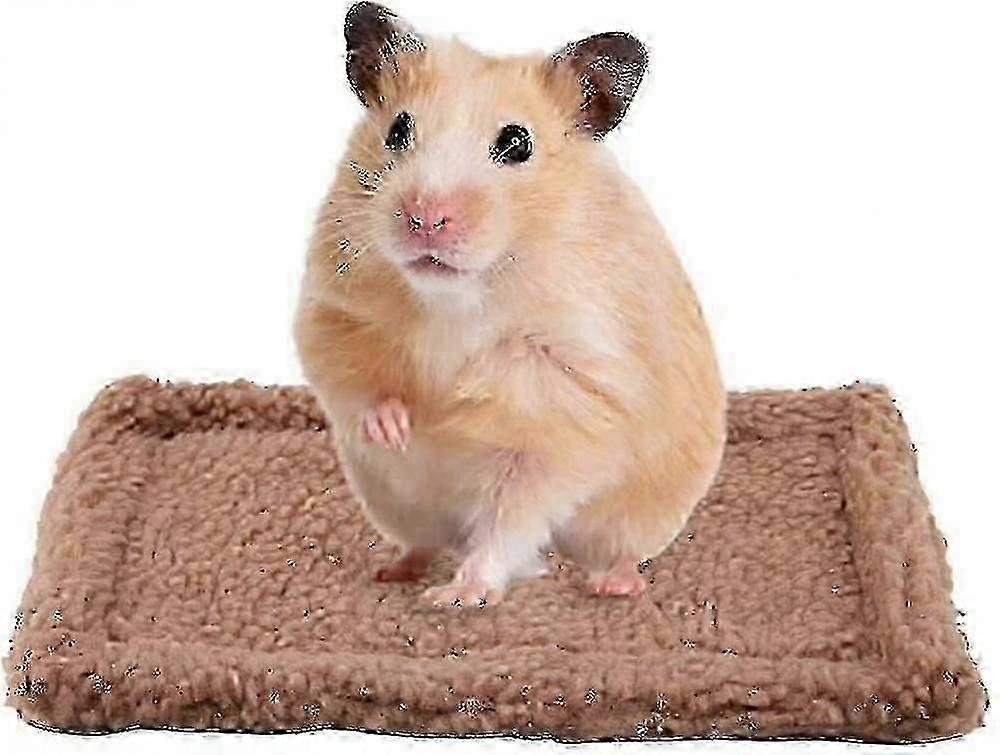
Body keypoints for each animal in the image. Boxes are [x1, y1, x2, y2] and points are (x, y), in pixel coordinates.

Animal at [294, 2, 726, 607]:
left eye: (518, 142)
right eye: (398, 129)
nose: (425, 218)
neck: (457, 296)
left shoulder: (568, 408)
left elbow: (509, 518)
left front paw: (458, 597)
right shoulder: (329, 312)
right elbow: (353, 379)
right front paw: (399, 428)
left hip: (641, 513)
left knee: (606, 549)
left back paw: (612, 586)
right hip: (397, 503)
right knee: (426, 541)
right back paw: (395, 570)